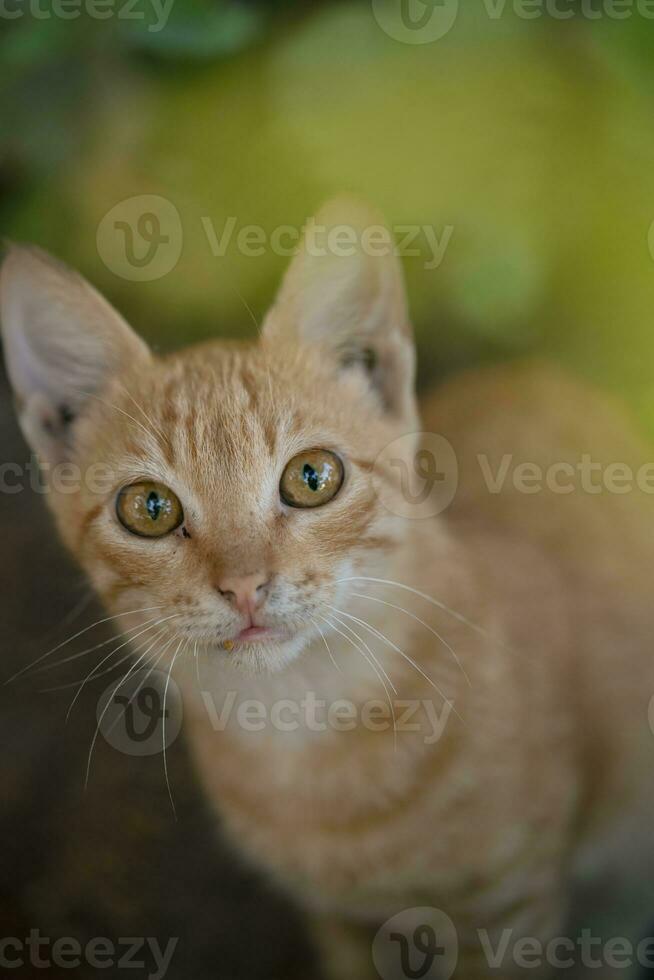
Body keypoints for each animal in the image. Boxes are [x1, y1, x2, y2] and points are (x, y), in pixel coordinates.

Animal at [3, 201, 654, 980]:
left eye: (312, 477)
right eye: (149, 507)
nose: (244, 586)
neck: (301, 727)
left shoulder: (507, 913)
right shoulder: (340, 923)